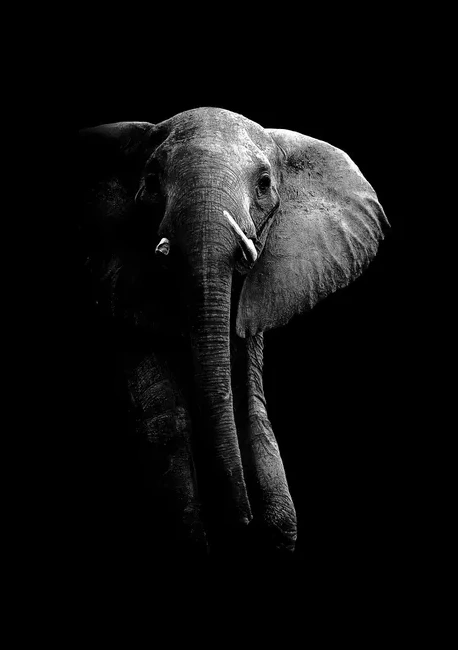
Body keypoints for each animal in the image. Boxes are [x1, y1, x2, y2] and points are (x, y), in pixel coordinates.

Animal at [77, 107, 389, 560]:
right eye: (151, 180)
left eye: (264, 184)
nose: (241, 524)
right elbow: (162, 411)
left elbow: (247, 397)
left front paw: (275, 533)